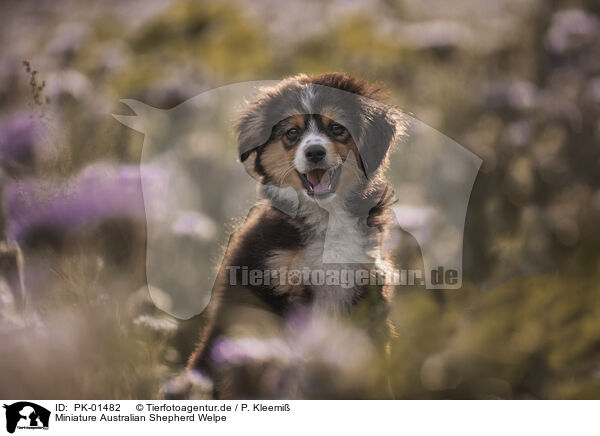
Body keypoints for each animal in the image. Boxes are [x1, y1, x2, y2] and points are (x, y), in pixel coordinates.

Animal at [188, 72, 404, 398]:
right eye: (292, 132)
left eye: (337, 128)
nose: (314, 152)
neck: (327, 217)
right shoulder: (280, 291)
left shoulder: (367, 291)